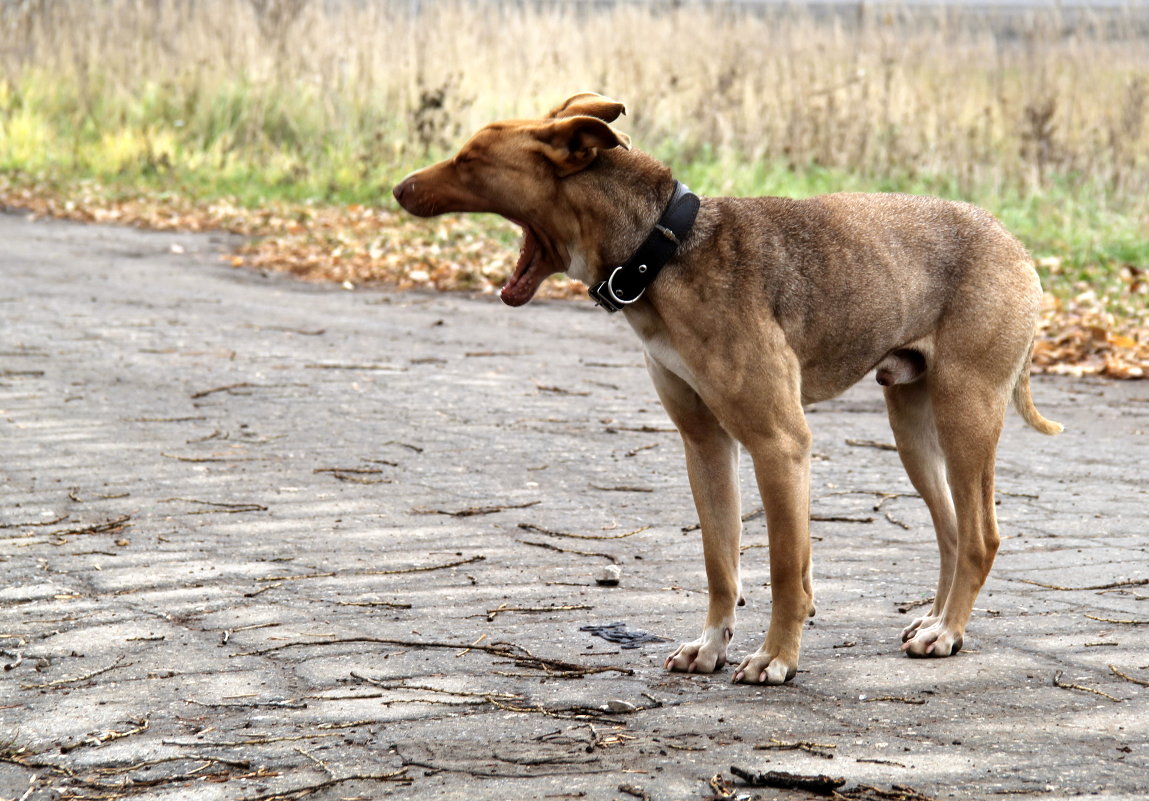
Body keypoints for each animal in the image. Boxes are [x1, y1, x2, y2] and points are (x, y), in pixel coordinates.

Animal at [392, 91, 1057, 680]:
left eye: (471, 159)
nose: (399, 188)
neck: (661, 249)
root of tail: (1016, 245)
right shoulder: (705, 443)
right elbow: (721, 561)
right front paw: (711, 646)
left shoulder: (779, 445)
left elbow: (786, 568)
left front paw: (777, 658)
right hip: (913, 427)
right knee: (951, 531)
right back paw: (938, 621)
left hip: (965, 415)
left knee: (980, 537)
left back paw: (948, 632)